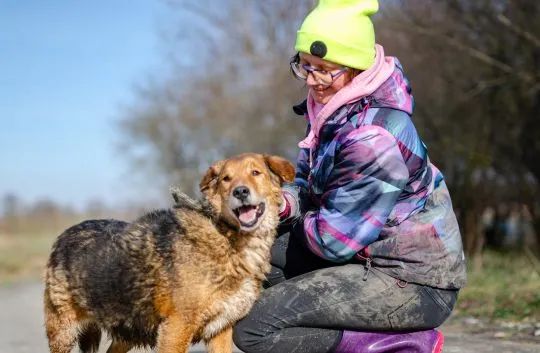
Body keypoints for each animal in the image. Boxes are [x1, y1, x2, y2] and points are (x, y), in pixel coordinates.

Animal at [43, 153, 296, 350]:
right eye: (226, 179)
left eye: (256, 172)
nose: (240, 192)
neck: (226, 236)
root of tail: (65, 234)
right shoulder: (176, 329)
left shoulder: (221, 329)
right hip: (63, 332)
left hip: (129, 329)